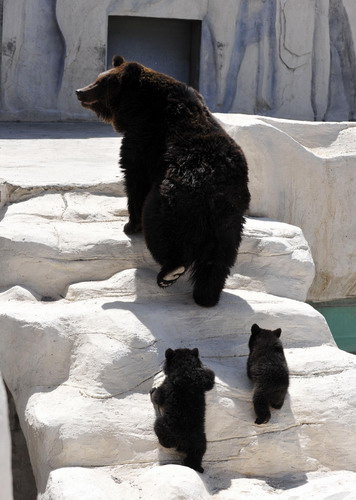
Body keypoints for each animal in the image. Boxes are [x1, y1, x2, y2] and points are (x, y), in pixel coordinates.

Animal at [76, 58, 249, 308]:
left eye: (101, 82)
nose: (80, 91)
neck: (139, 106)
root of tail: (214, 194)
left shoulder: (144, 139)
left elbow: (134, 177)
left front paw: (130, 225)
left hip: (173, 200)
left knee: (162, 230)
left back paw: (171, 271)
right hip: (230, 219)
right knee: (219, 258)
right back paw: (207, 295)